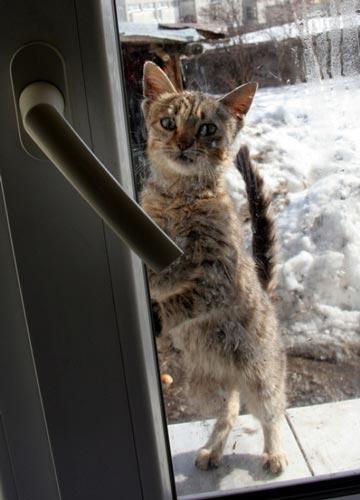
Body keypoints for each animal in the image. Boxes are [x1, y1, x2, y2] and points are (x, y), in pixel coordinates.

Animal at [140, 62, 286, 472]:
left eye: (207, 129)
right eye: (168, 122)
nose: (184, 142)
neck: (178, 197)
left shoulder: (217, 276)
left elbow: (185, 297)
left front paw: (160, 314)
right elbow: (162, 277)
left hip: (262, 377)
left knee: (271, 414)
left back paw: (274, 453)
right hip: (209, 387)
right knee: (229, 412)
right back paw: (214, 450)